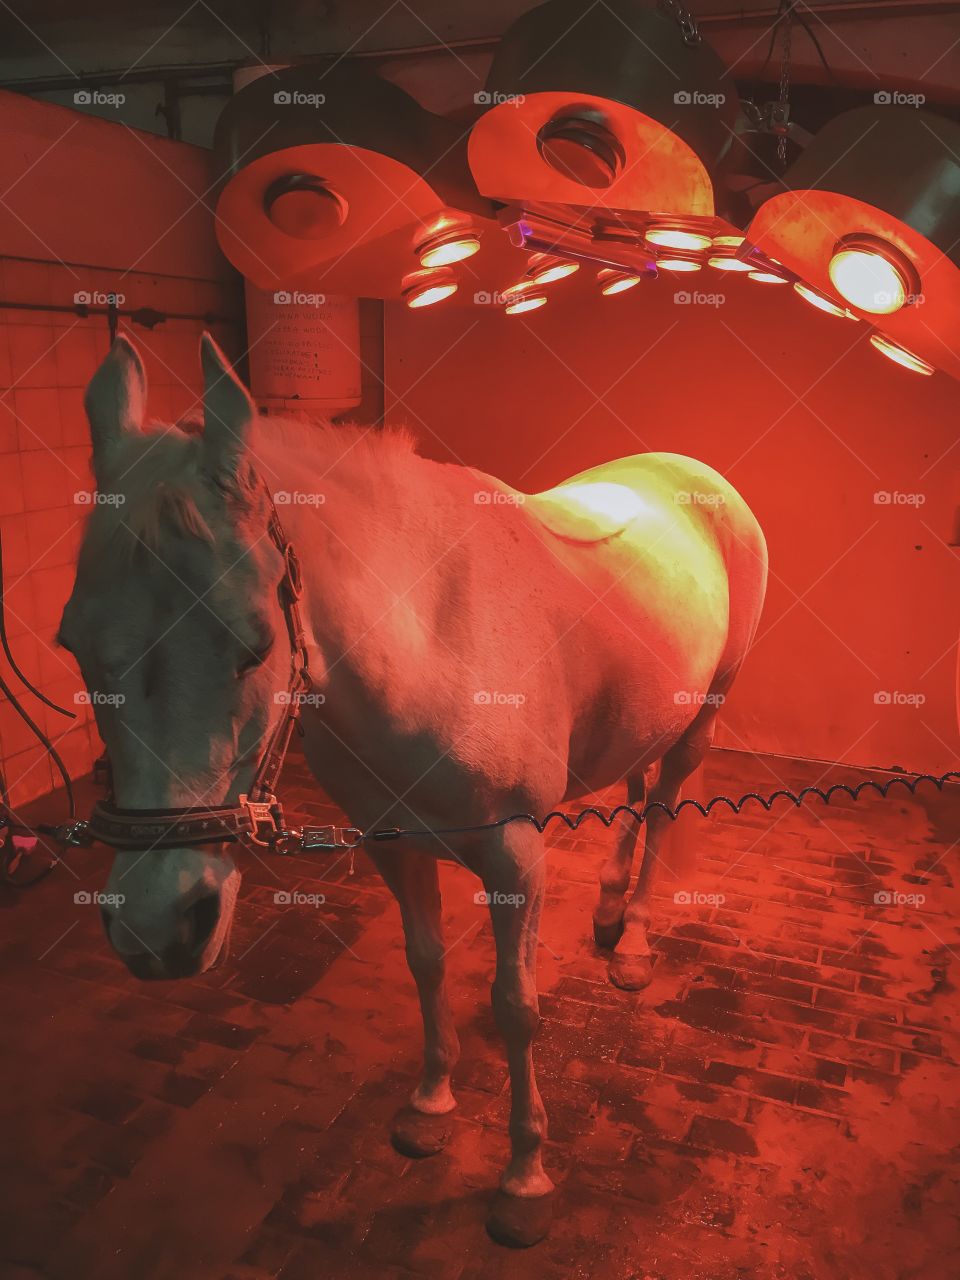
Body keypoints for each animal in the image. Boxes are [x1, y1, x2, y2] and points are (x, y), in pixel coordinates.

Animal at [60, 333, 767, 1246]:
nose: (155, 928)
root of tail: (699, 476)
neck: (434, 633)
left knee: (665, 805)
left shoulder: (514, 858)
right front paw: (431, 1107)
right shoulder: (391, 843)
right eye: (73, 644)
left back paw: (635, 943)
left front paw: (525, 1180)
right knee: (638, 792)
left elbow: (516, 1006)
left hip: (700, 721)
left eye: (254, 646)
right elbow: (426, 965)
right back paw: (609, 909)